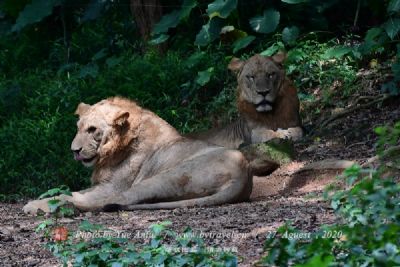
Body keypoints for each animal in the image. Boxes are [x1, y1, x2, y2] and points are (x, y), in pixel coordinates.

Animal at [21, 97, 252, 216]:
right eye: (78, 128)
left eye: (92, 129)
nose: (74, 151)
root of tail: (244, 176)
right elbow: (71, 191)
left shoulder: (111, 187)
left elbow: (74, 194)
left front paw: (39, 202)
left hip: (165, 177)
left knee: (110, 202)